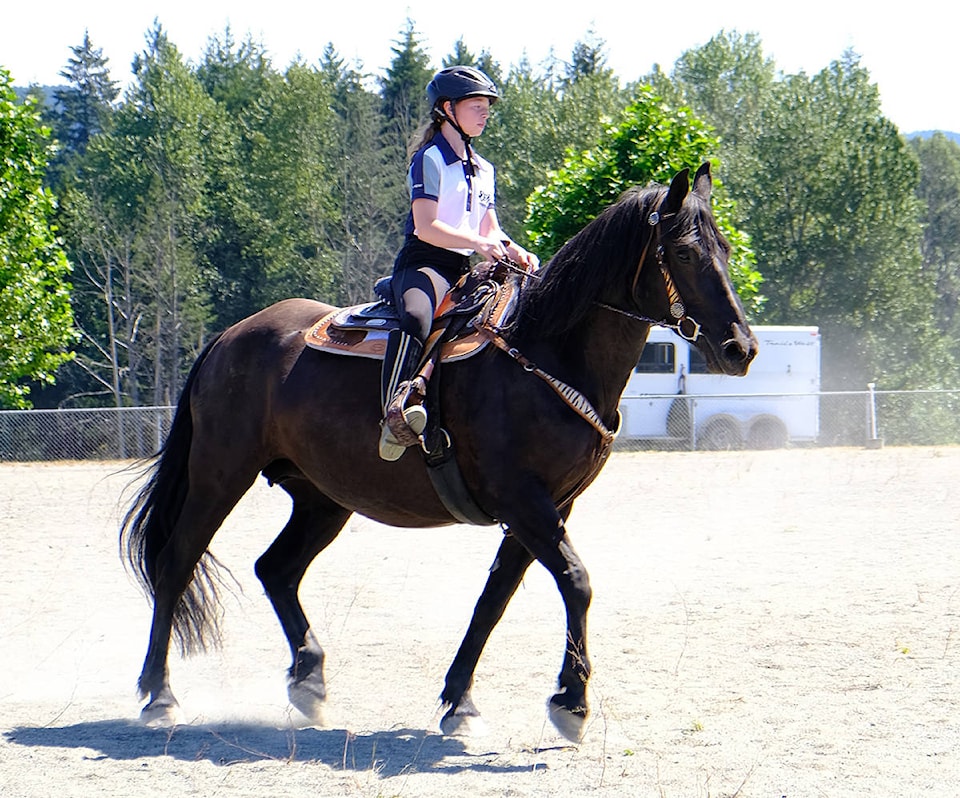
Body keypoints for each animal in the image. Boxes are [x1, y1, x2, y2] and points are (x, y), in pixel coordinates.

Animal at [120, 162, 756, 744]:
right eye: (685, 252)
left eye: (724, 249)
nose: (740, 348)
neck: (545, 352)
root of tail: (229, 337)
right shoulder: (524, 501)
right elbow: (575, 581)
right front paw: (572, 703)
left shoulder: (549, 506)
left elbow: (494, 599)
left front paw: (460, 699)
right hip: (219, 475)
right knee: (176, 562)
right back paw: (158, 693)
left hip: (323, 498)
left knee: (276, 568)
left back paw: (309, 681)